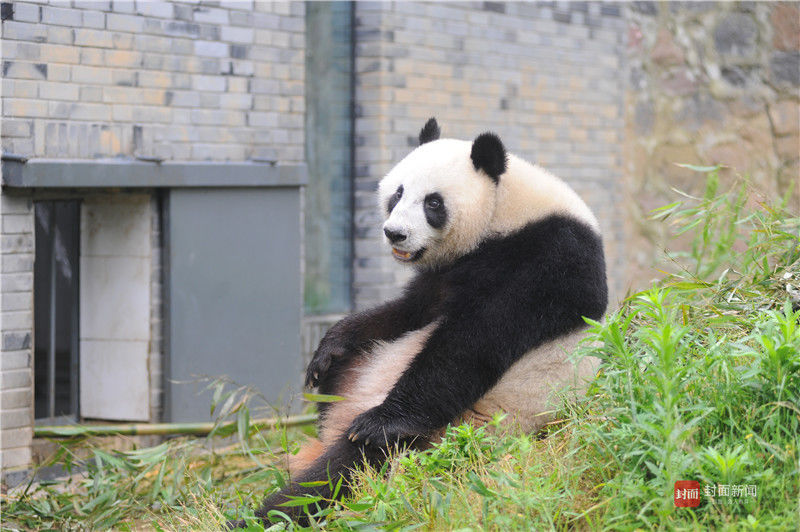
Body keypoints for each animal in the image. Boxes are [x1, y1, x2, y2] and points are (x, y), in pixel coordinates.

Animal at [231, 119, 608, 524]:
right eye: (397, 194)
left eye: (433, 203)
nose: (394, 233)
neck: (506, 211)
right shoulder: (445, 273)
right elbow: (411, 309)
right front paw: (329, 348)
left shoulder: (550, 259)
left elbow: (475, 340)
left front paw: (381, 423)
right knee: (342, 382)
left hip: (456, 428)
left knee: (347, 470)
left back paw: (265, 513)